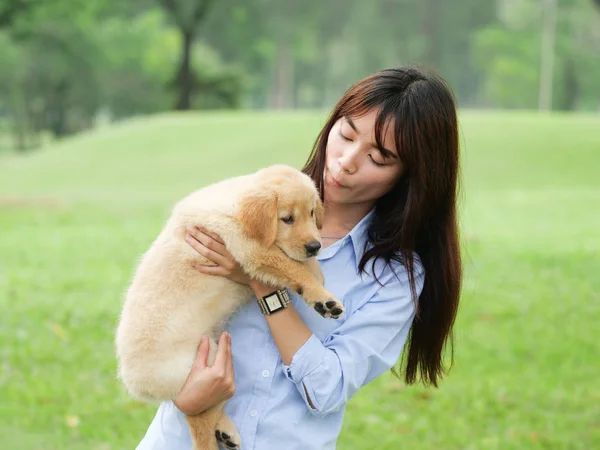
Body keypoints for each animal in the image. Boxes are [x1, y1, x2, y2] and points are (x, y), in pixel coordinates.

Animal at [115, 165, 344, 450]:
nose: (314, 246)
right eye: (287, 219)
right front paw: (323, 298)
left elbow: (297, 263)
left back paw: (226, 432)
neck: (235, 204)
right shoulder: (251, 248)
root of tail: (136, 384)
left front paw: (317, 273)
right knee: (198, 418)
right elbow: (291, 266)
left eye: (312, 213)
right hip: (206, 367)